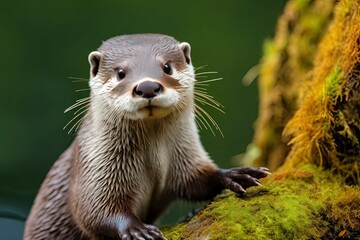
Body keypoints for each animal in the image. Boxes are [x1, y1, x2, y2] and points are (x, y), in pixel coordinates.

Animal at [23, 34, 268, 240]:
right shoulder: (93, 168)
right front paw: (136, 228)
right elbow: (93, 210)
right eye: (121, 73)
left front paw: (236, 175)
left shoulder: (185, 158)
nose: (148, 86)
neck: (153, 158)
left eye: (167, 67)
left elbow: (198, 179)